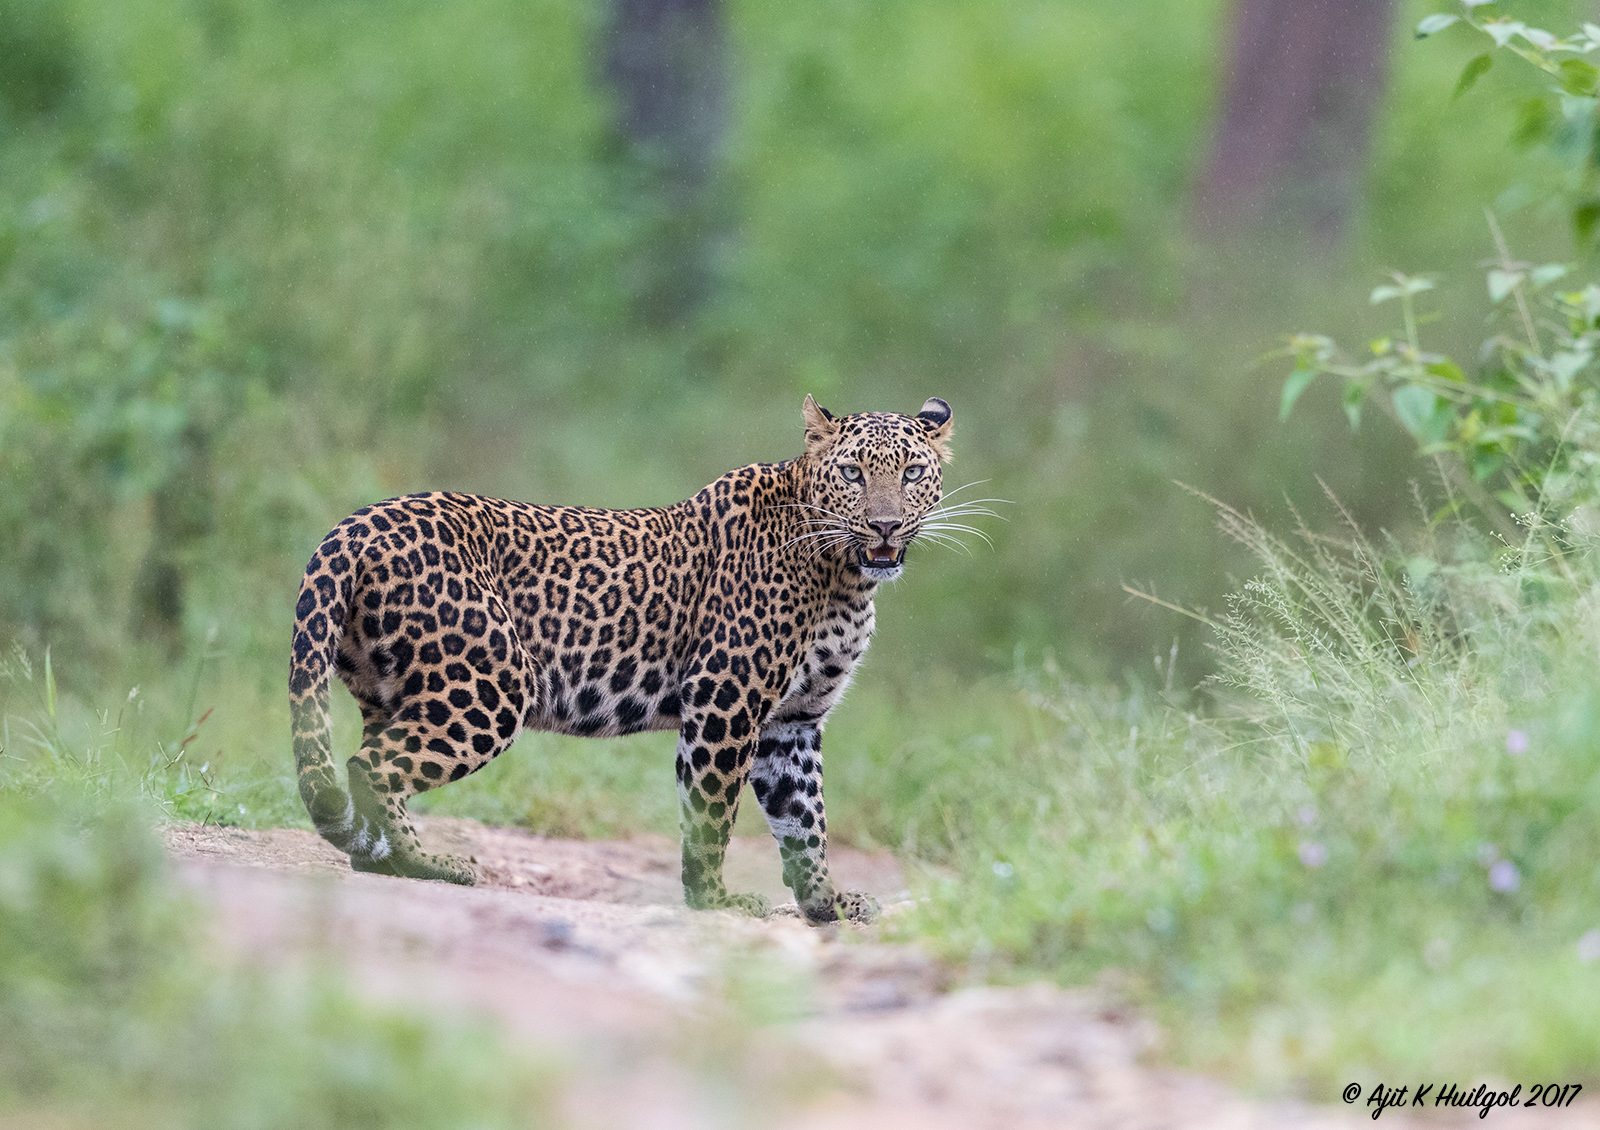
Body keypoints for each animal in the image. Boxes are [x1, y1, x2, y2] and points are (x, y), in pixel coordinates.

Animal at [289, 395, 954, 925]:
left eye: (913, 472)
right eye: (852, 473)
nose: (885, 525)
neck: (846, 579)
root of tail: (353, 527)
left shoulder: (792, 722)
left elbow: (805, 821)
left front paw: (827, 903)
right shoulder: (725, 697)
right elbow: (711, 812)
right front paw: (714, 901)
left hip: (392, 690)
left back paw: (391, 860)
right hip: (490, 686)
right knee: (369, 766)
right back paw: (424, 863)